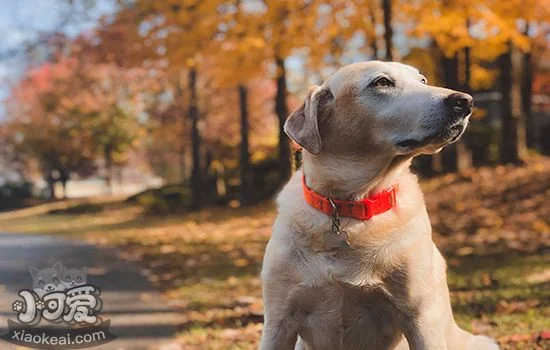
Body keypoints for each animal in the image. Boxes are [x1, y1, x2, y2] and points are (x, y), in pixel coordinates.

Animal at [260, 61, 498, 348]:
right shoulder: (278, 321)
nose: (465, 101)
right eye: (382, 82)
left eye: (422, 80)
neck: (350, 205)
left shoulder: (420, 317)